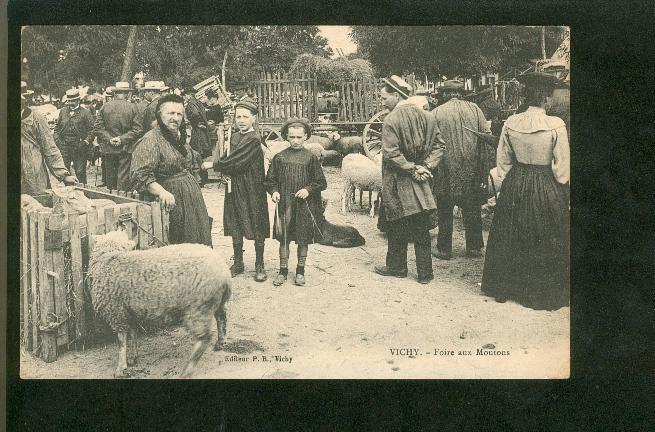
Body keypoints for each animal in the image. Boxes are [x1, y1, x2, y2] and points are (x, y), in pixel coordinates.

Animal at [86, 230, 232, 378]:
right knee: (222, 318)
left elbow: (121, 342)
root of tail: (224, 271)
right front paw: (133, 357)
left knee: (204, 338)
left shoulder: (116, 313)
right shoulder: (130, 311)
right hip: (214, 302)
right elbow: (133, 334)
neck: (110, 259)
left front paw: (121, 368)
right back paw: (221, 342)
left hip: (197, 307)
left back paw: (187, 370)